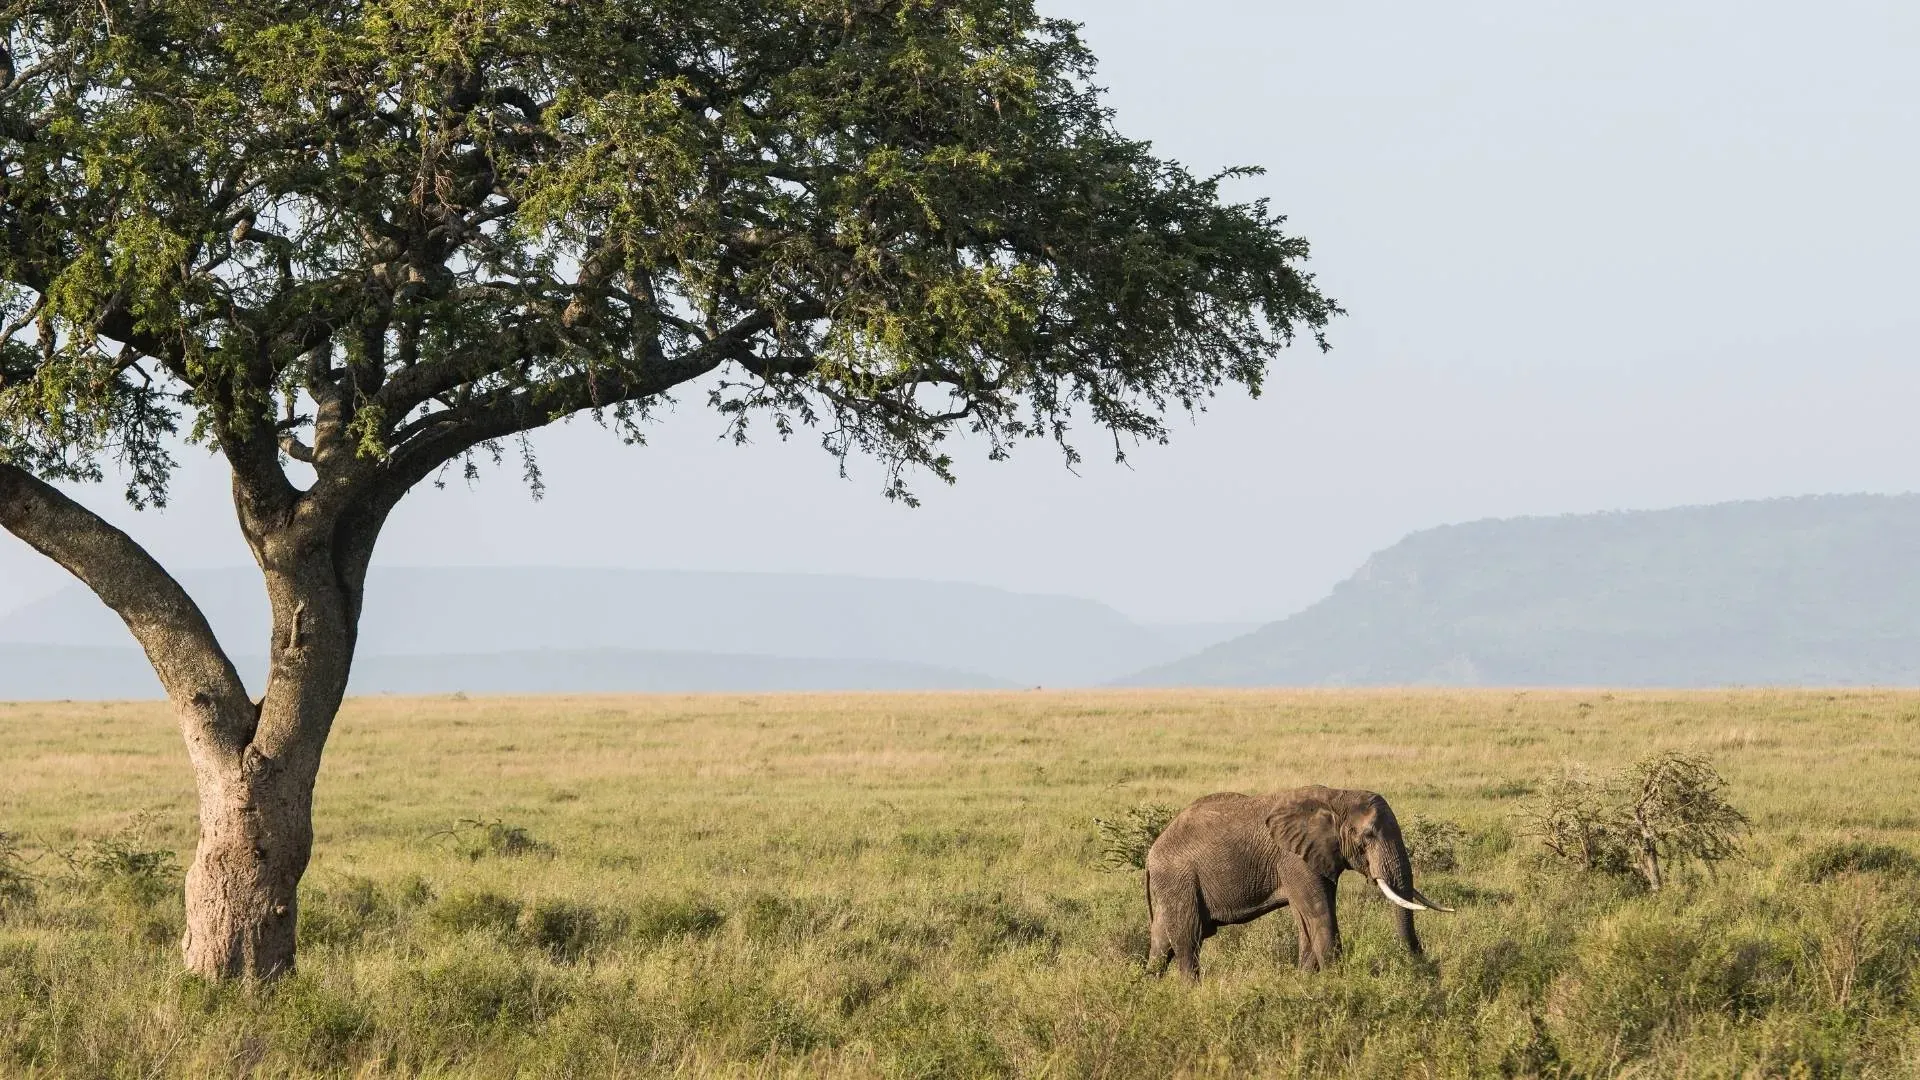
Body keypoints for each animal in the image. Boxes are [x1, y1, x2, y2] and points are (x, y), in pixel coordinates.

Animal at [1144, 786, 1452, 980]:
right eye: (1367, 837)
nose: (1421, 960)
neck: (1337, 797)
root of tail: (1151, 853)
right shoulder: (1295, 859)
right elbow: (1320, 916)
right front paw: (1337, 983)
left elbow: (1309, 923)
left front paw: (1305, 982)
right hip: (1178, 879)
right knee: (1189, 938)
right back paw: (1190, 993)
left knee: (1161, 940)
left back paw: (1148, 987)